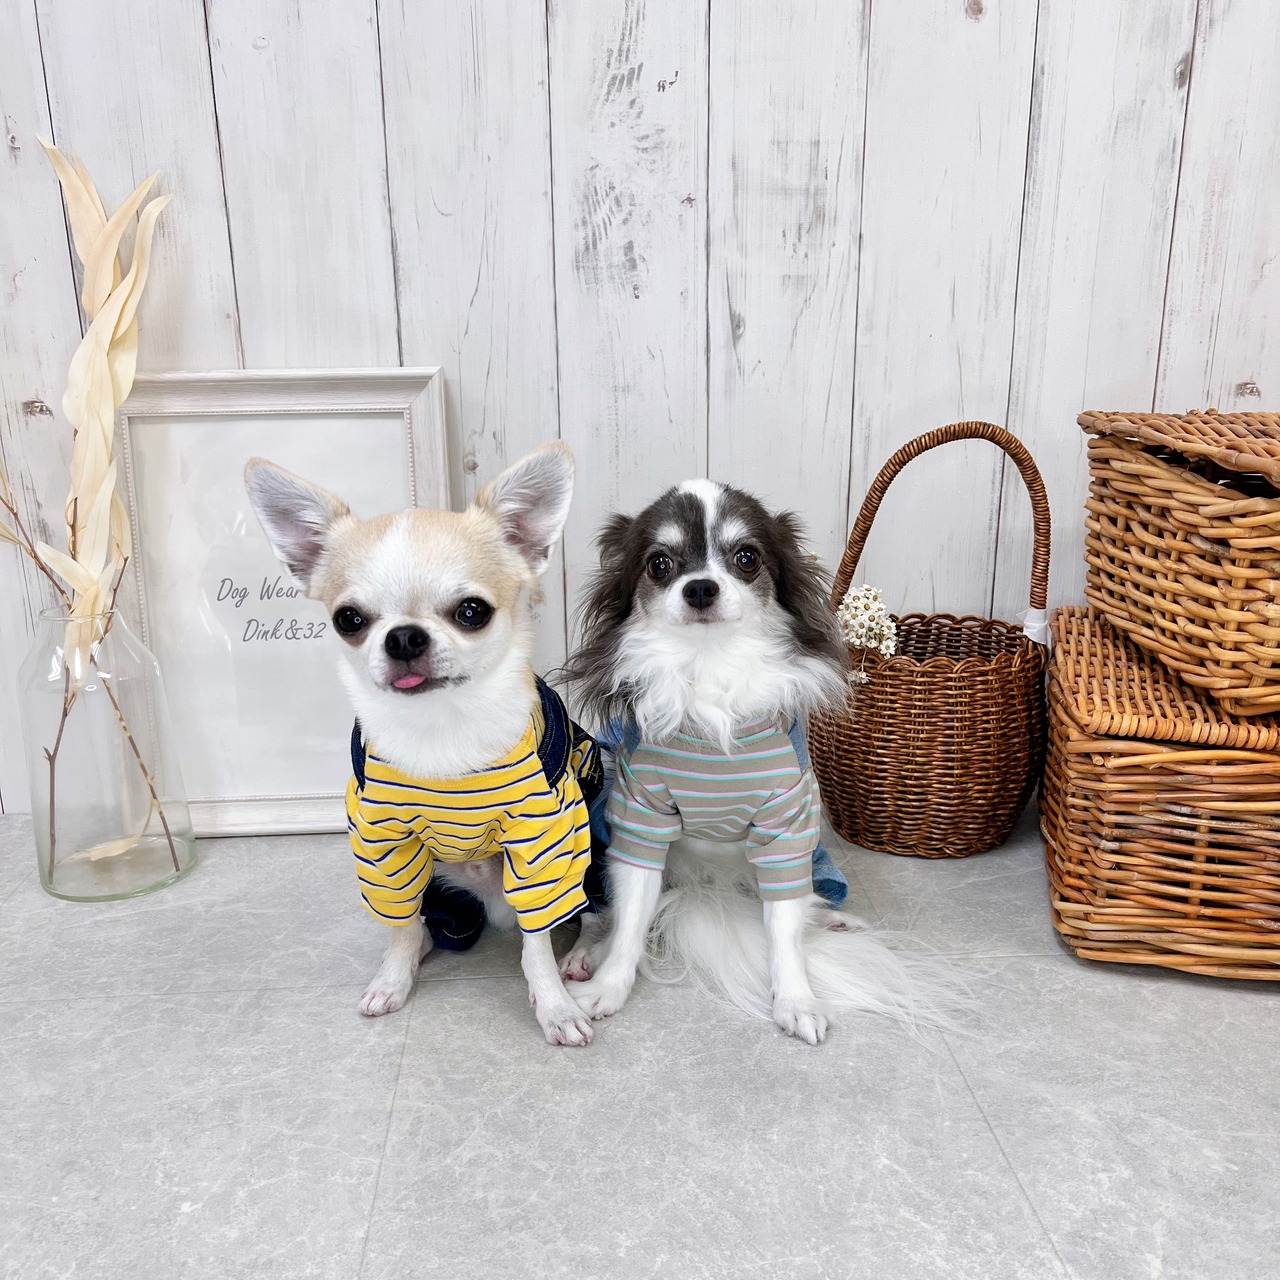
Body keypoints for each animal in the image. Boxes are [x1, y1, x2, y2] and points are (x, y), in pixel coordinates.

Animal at [245, 443, 600, 1047]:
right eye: (349, 620)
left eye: (472, 611)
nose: (404, 636)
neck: (440, 726)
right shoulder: (383, 844)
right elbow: (401, 923)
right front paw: (394, 976)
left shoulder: (542, 842)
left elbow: (537, 944)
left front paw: (554, 1005)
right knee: (427, 921)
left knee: (588, 914)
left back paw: (581, 956)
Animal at [560, 479, 958, 1044]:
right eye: (660, 564)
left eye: (747, 557)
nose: (700, 587)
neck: (710, 667)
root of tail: (707, 888)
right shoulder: (640, 819)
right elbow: (632, 917)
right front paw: (609, 986)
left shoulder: (787, 826)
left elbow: (784, 930)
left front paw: (796, 999)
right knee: (601, 915)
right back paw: (584, 957)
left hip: (814, 861)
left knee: (802, 903)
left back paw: (829, 918)